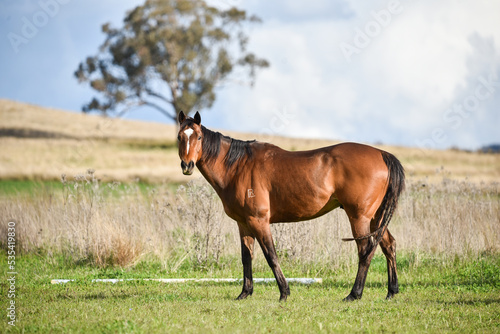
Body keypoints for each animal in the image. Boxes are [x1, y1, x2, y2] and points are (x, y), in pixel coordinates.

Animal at [178, 111, 404, 302]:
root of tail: (382, 155)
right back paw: (391, 291)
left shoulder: (259, 221)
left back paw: (354, 294)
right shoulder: (243, 224)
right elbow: (246, 257)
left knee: (365, 250)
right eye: (180, 137)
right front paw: (245, 293)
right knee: (388, 245)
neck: (238, 167)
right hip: (375, 218)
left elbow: (271, 256)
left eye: (199, 137)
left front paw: (284, 292)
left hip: (359, 217)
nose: (187, 166)